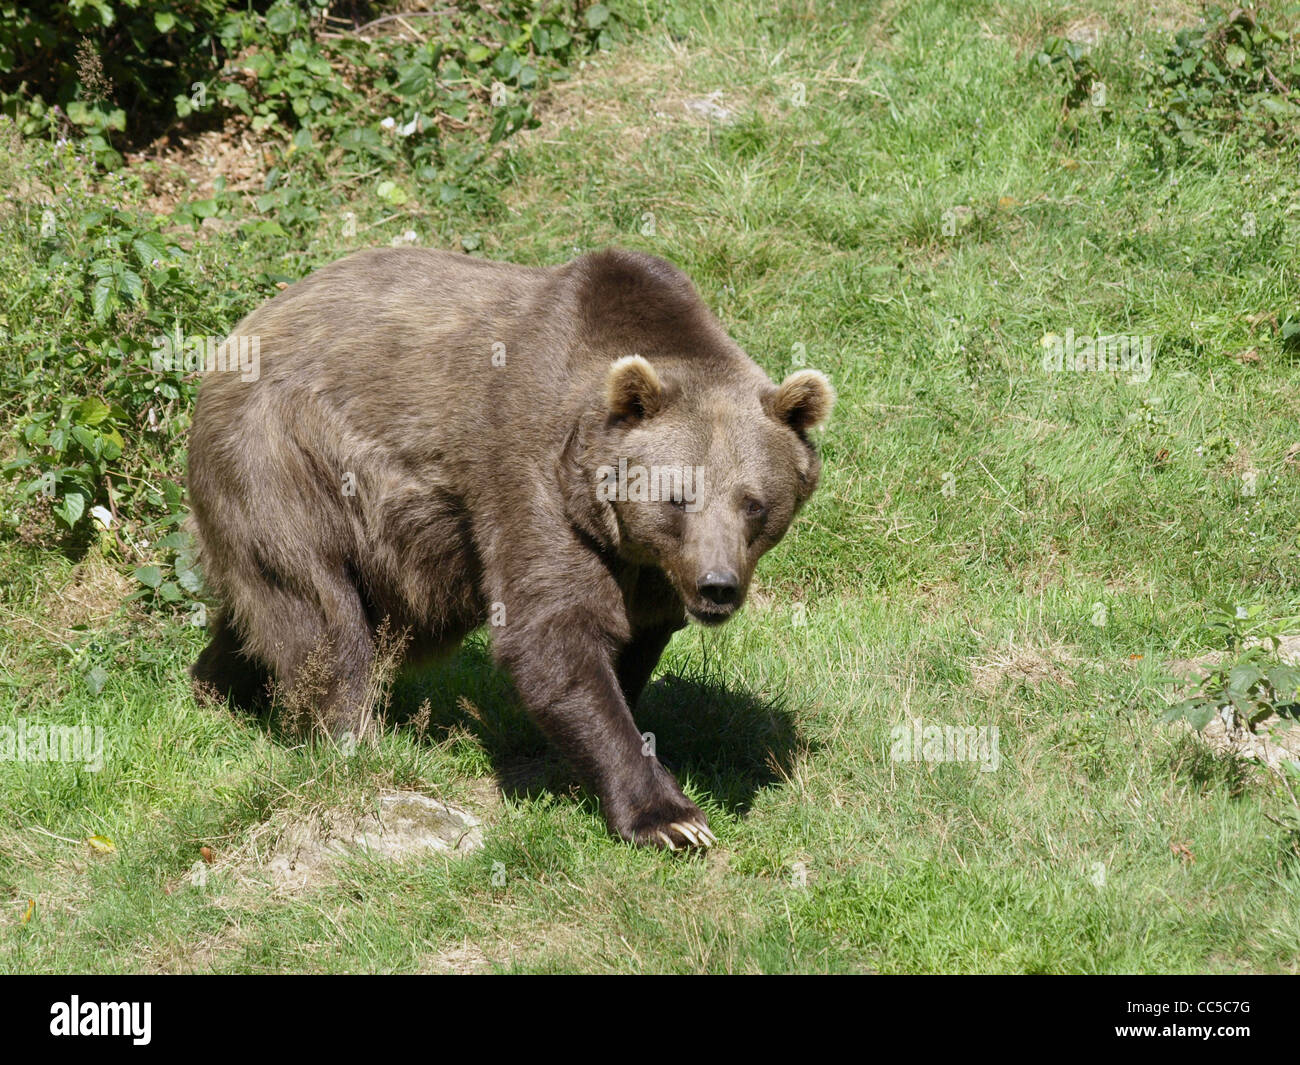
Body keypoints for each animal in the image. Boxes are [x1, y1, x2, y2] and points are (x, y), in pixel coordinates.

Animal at [185, 248, 832, 847]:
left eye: (754, 504)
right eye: (678, 496)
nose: (716, 586)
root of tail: (242, 331)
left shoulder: (646, 570)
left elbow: (632, 642)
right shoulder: (531, 479)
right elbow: (552, 634)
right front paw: (671, 818)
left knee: (261, 613)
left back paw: (217, 689)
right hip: (283, 461)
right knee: (320, 614)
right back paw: (351, 741)